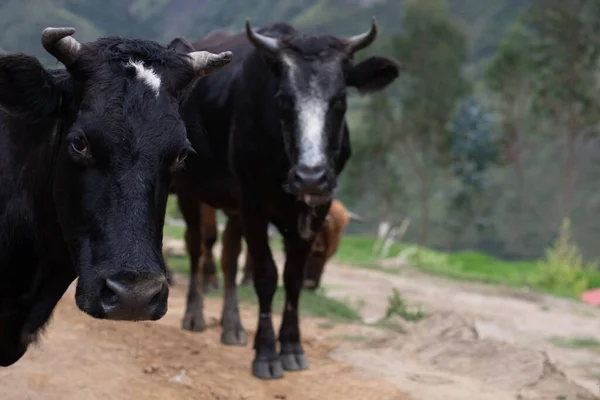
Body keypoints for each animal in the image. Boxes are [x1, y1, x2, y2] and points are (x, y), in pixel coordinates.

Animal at [169, 18, 400, 380]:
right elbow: (266, 275)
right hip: (189, 190)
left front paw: (291, 347)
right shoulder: (253, 206)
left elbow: (291, 278)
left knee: (229, 253)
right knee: (197, 244)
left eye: (339, 100)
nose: (310, 176)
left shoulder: (313, 211)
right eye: (283, 99)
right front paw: (266, 353)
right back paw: (194, 314)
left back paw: (232, 326)